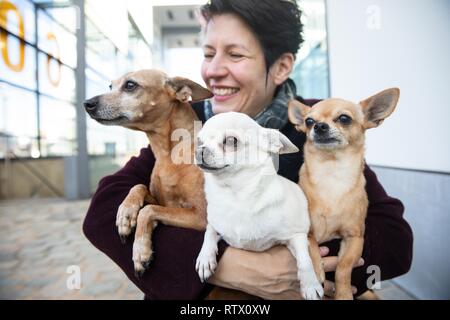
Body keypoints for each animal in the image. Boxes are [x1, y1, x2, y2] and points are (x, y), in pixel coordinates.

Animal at [84, 69, 213, 276]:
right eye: (110, 86)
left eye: (130, 85)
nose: (87, 103)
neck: (167, 154)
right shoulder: (162, 202)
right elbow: (140, 187)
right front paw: (126, 213)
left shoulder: (200, 216)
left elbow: (148, 210)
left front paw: (139, 250)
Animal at [286, 88, 400, 300]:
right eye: (309, 121)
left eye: (344, 118)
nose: (319, 126)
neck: (332, 175)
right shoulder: (306, 231)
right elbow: (312, 247)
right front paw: (316, 272)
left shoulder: (354, 238)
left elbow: (343, 267)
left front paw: (344, 293)